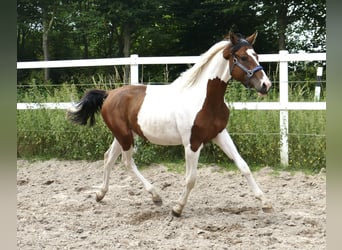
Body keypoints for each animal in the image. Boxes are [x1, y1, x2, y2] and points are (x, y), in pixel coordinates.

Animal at [69, 31, 272, 217]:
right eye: (243, 57)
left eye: (257, 56)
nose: (266, 85)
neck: (204, 99)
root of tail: (109, 94)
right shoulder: (192, 143)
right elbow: (191, 178)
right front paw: (177, 208)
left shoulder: (220, 134)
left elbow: (243, 166)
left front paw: (265, 202)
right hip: (124, 136)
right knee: (127, 162)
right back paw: (155, 196)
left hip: (123, 135)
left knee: (108, 157)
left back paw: (100, 194)